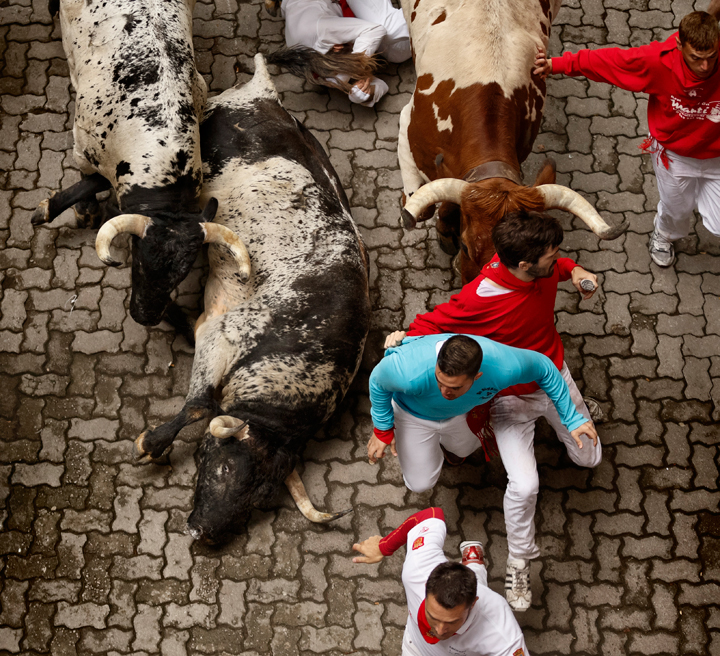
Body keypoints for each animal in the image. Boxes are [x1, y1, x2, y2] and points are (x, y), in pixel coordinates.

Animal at [31, 0, 249, 327]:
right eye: (140, 261)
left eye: (182, 273)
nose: (145, 317)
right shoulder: (82, 143)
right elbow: (86, 179)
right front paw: (79, 210)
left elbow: (97, 181)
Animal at [134, 54, 371, 543]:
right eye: (220, 467)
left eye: (260, 499)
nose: (203, 533)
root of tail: (263, 93)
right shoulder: (219, 335)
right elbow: (199, 405)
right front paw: (152, 442)